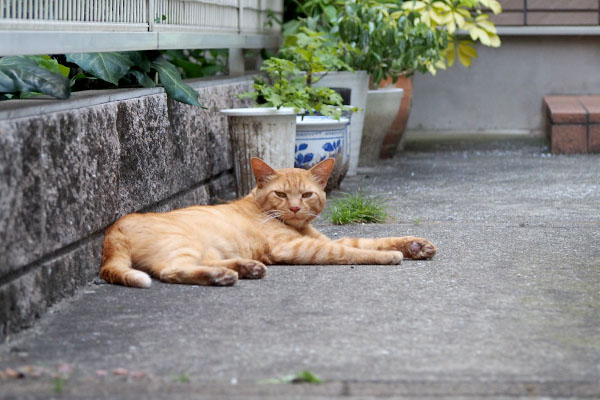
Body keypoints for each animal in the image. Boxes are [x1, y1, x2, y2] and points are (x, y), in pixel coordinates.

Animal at [99, 157, 436, 288]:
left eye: (307, 194)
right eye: (281, 194)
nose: (296, 207)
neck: (296, 227)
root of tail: (114, 228)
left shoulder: (321, 240)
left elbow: (365, 241)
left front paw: (415, 245)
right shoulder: (299, 248)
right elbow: (352, 252)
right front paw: (391, 255)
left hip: (206, 249)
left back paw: (246, 268)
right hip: (182, 245)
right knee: (171, 271)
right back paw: (222, 276)